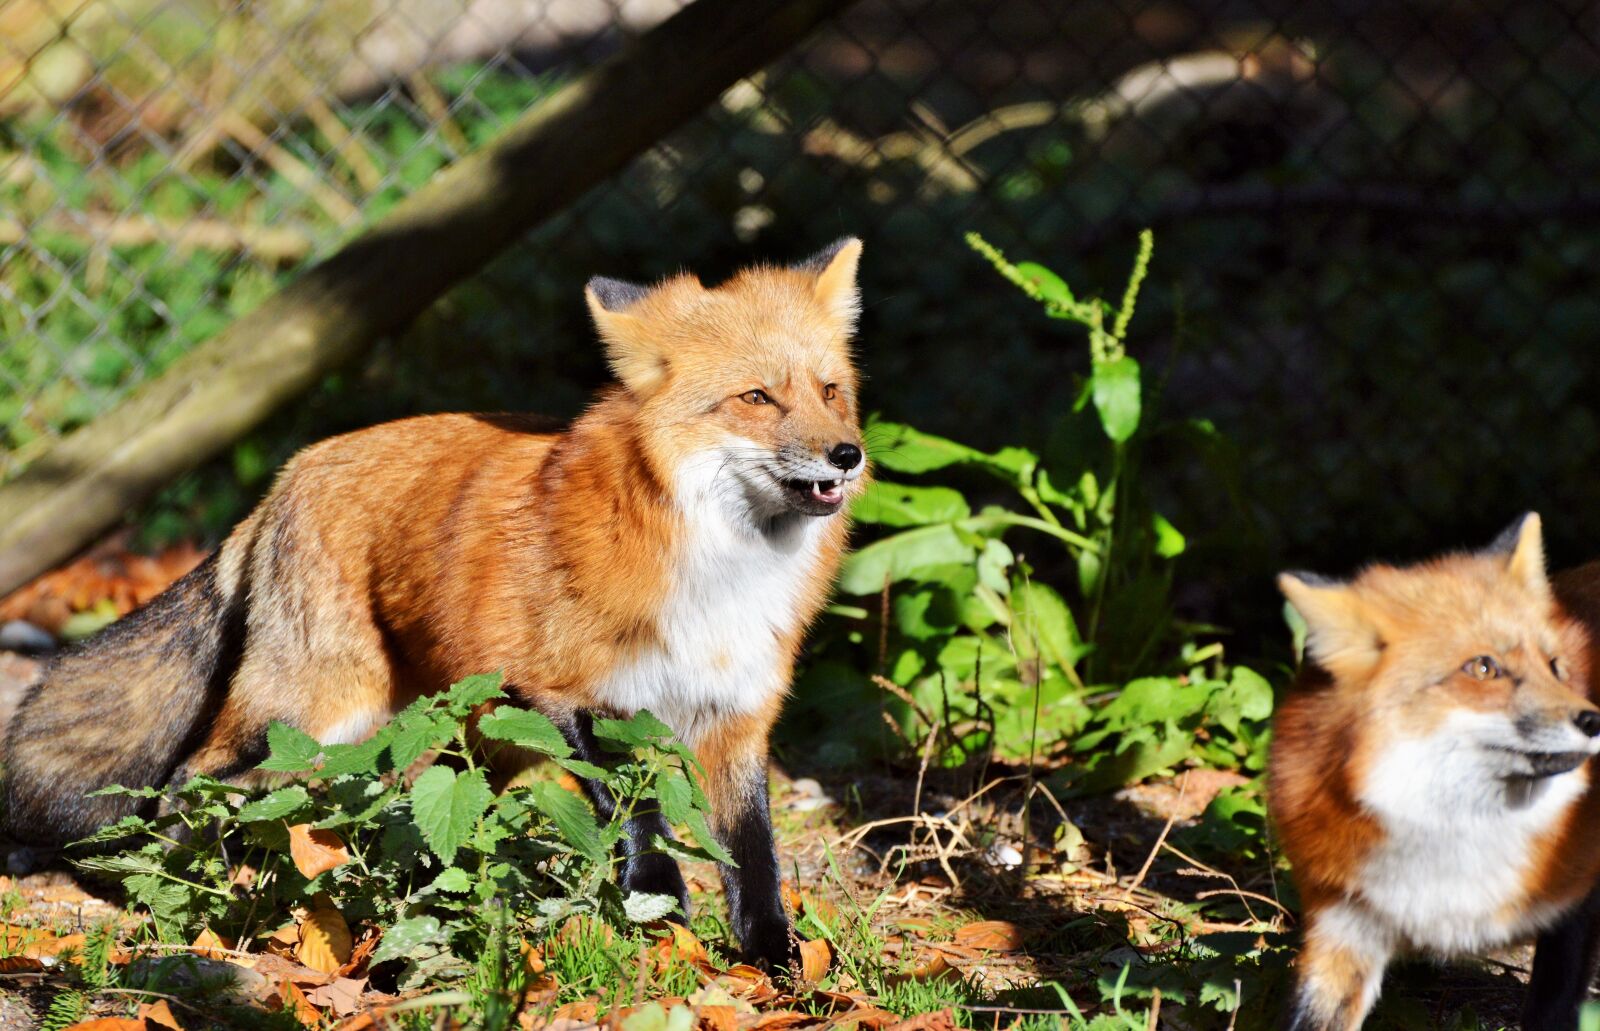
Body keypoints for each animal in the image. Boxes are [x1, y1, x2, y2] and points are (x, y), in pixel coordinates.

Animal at [2, 239, 870, 971]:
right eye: (755, 396)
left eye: (830, 390)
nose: (848, 454)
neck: (720, 571)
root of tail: (287, 473)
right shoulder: (567, 693)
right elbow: (639, 816)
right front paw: (659, 913)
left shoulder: (737, 717)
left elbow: (754, 859)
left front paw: (777, 961)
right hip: (314, 712)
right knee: (194, 777)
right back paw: (194, 894)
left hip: (466, 732)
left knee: (409, 814)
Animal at [1271, 513, 1600, 1030]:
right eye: (1483, 668)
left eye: (1555, 667)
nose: (1593, 720)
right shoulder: (1345, 922)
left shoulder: (1577, 904)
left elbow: (1552, 1006)